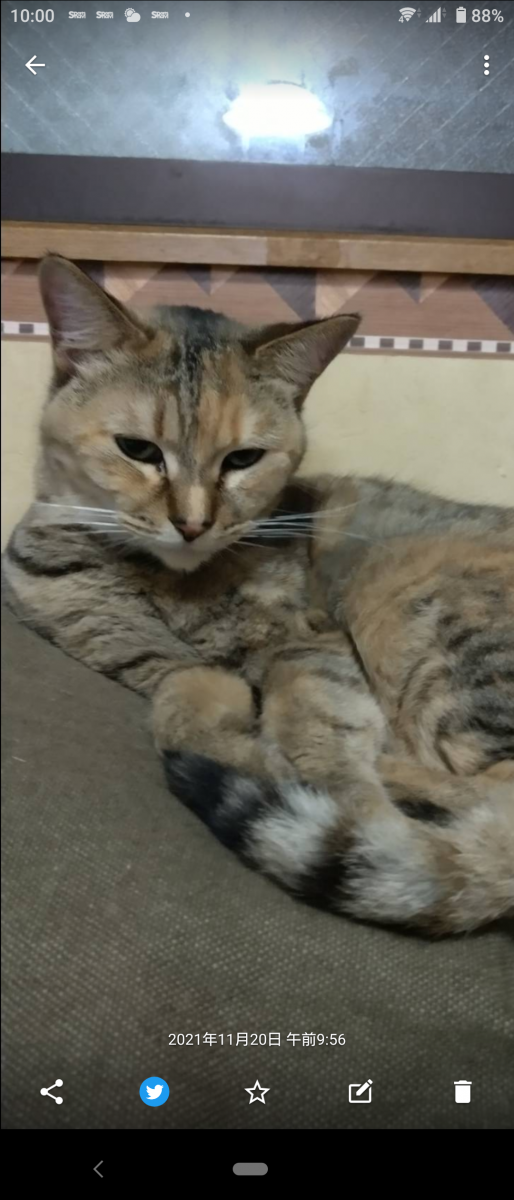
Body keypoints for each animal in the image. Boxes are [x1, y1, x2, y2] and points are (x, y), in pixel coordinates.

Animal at [4, 255, 514, 935]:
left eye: (244, 459)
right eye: (137, 450)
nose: (193, 523)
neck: (174, 583)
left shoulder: (311, 647)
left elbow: (312, 732)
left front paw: (331, 793)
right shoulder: (112, 636)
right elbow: (181, 691)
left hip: (414, 606)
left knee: (490, 789)